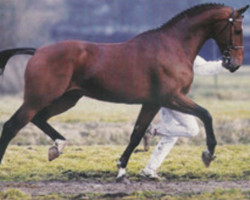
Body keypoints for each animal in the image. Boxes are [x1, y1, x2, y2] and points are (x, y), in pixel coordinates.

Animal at [0, 3, 248, 181]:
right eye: (237, 29)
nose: (234, 63)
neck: (173, 45)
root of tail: (38, 51)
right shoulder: (171, 97)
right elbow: (206, 114)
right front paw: (209, 153)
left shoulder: (153, 102)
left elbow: (137, 133)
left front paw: (122, 170)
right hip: (38, 98)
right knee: (12, 126)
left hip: (67, 99)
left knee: (39, 119)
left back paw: (58, 146)